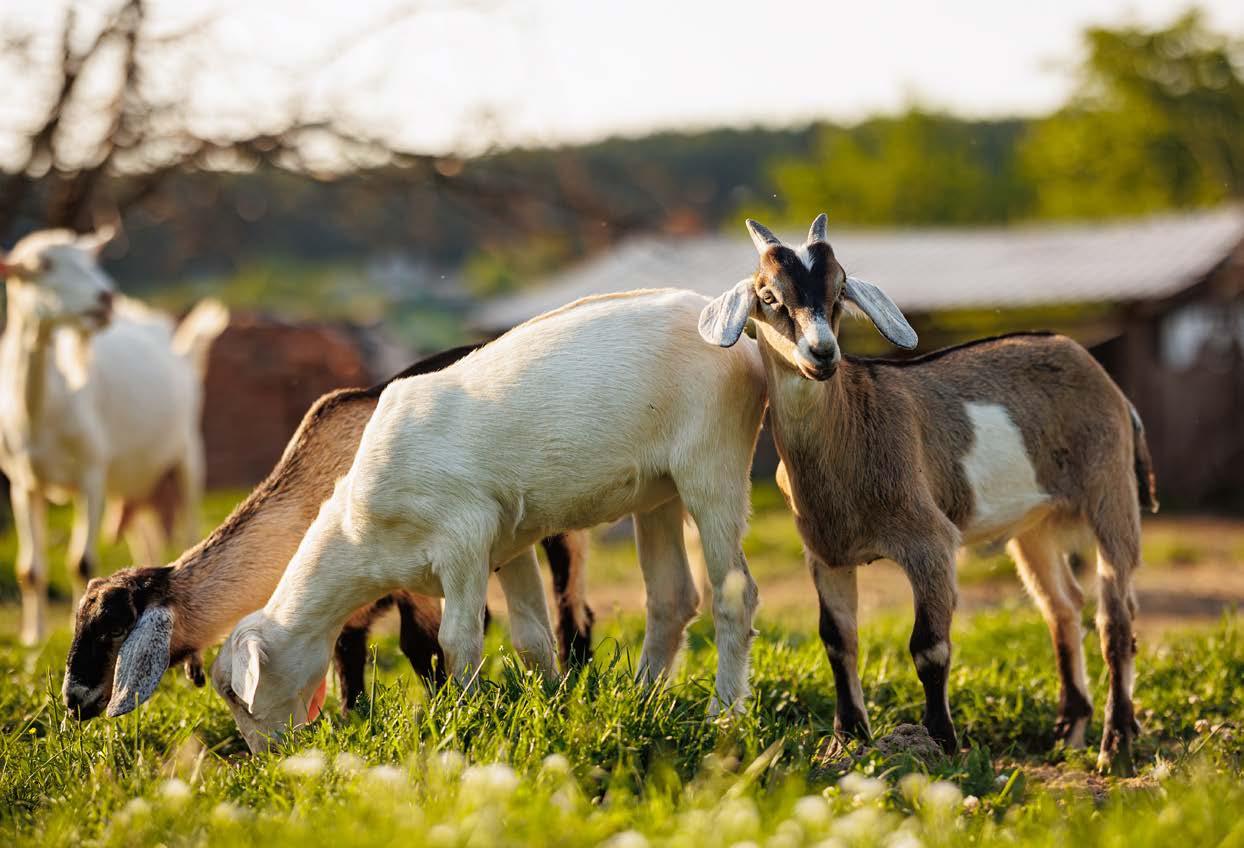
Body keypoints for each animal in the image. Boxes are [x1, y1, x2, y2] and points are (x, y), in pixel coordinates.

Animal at [0, 228, 228, 646]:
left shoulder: (92, 472)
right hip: (134, 479)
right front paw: (33, 637)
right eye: (43, 266)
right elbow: (31, 569)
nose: (105, 297)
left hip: (187, 448)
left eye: (91, 260)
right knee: (147, 536)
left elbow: (81, 561)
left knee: (189, 522)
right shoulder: (23, 481)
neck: (43, 405)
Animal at [63, 343, 594, 720]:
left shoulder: (417, 577)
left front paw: (445, 712)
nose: (73, 700)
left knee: (573, 604)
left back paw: (577, 679)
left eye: (114, 627)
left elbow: (419, 646)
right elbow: (345, 661)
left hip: (560, 527)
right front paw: (351, 719)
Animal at [211, 288, 768, 753]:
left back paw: (724, 714)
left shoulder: (464, 536)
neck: (357, 536)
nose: (264, 756)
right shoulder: (508, 544)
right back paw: (644, 699)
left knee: (734, 596)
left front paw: (466, 716)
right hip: (658, 491)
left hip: (712, 461)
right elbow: (531, 639)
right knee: (672, 598)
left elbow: (456, 640)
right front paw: (553, 705)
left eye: (236, 696)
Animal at [699, 214, 1157, 776]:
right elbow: (838, 640)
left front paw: (940, 743)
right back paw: (1069, 729)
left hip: (1110, 490)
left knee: (1115, 616)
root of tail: (1103, 379)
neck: (853, 425)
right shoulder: (826, 553)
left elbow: (929, 647)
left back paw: (1116, 742)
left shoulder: (930, 542)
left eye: (839, 290)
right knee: (1062, 605)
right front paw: (848, 740)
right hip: (1036, 524)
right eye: (768, 296)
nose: (822, 353)